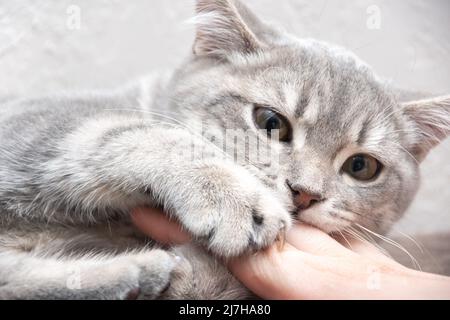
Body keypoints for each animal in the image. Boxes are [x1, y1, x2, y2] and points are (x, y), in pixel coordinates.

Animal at [0, 0, 450, 300]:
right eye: (271, 123)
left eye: (361, 167)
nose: (305, 193)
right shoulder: (30, 123)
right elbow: (132, 132)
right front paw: (233, 199)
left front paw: (199, 274)